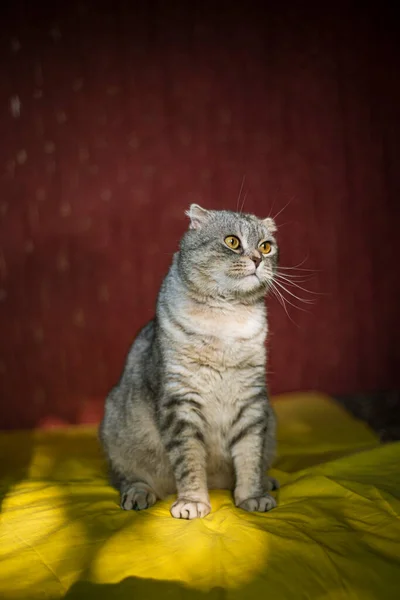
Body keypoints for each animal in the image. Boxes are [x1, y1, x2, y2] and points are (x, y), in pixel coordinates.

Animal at [99, 204, 280, 516]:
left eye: (266, 247)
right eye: (232, 241)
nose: (257, 259)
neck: (227, 320)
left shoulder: (252, 400)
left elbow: (249, 454)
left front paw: (251, 496)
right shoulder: (180, 401)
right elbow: (189, 460)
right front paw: (193, 502)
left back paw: (266, 482)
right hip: (116, 432)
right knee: (128, 478)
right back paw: (139, 494)